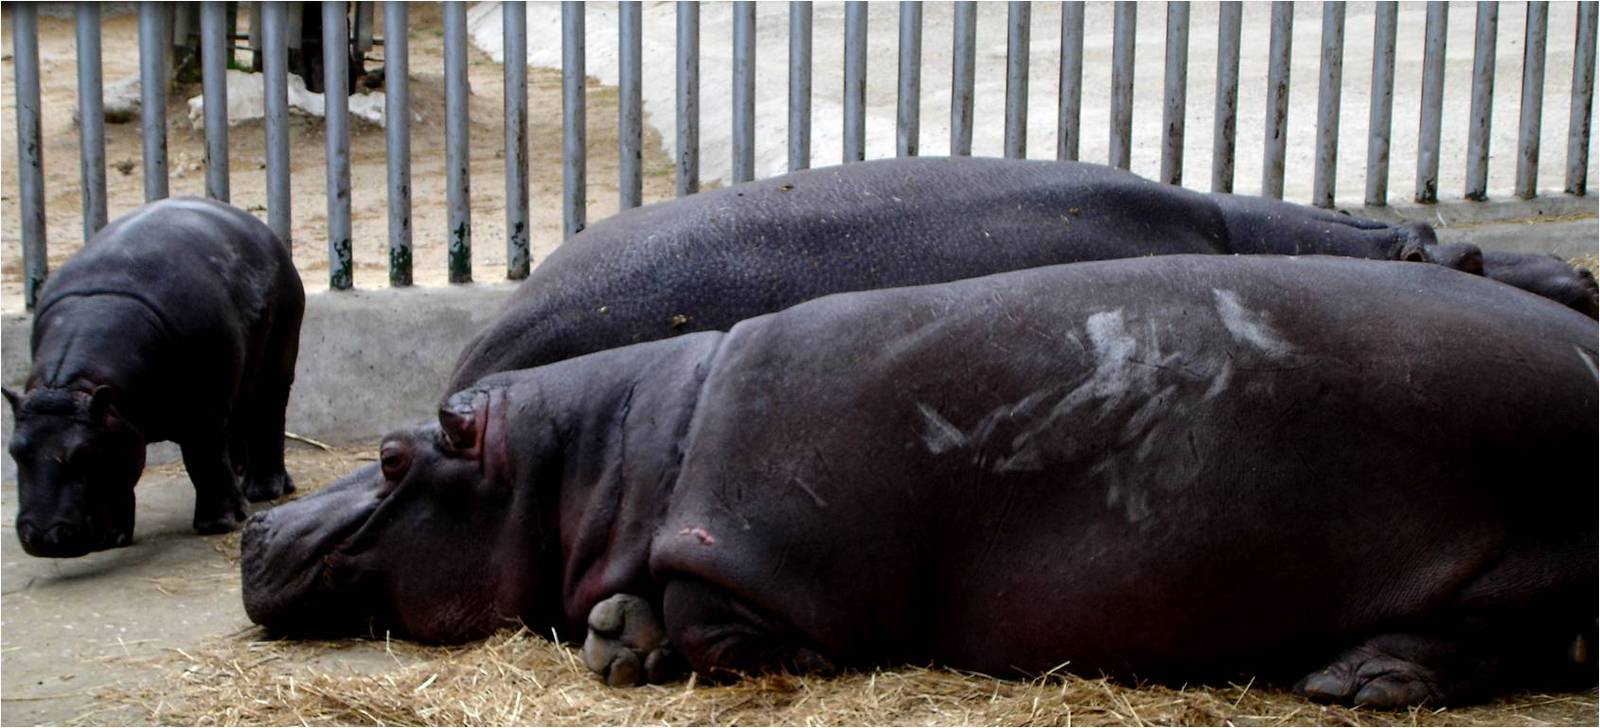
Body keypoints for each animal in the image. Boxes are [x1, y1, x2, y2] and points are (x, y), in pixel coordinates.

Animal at [5, 197, 304, 557]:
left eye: (84, 453)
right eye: (14, 451)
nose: (42, 536)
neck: (76, 387)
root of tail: (257, 227)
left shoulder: (203, 411)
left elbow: (204, 460)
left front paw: (218, 524)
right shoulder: (118, 427)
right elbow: (123, 475)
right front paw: (112, 540)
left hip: (276, 360)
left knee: (266, 416)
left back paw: (264, 490)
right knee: (238, 422)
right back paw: (243, 477)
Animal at [243, 255, 1597, 708]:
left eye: (390, 457)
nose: (257, 524)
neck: (608, 452)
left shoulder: (763, 558)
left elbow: (711, 620)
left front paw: (652, 639)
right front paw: (615, 631)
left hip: (1524, 546)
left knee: (1509, 635)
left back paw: (1358, 677)